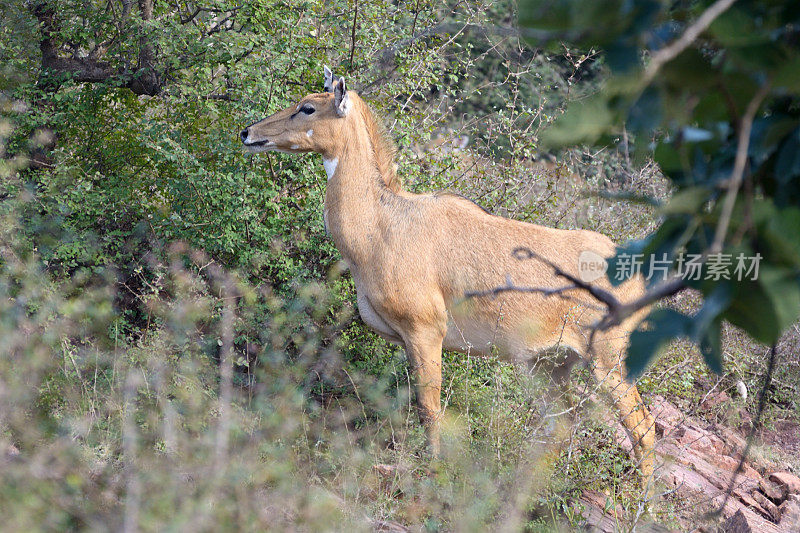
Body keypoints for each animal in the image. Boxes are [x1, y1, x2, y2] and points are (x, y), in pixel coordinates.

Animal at [239, 67, 656, 490]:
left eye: (307, 108)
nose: (248, 132)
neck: (379, 226)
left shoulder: (426, 329)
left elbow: (430, 409)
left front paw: (434, 474)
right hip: (548, 363)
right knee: (561, 424)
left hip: (606, 357)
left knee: (642, 425)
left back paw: (643, 500)